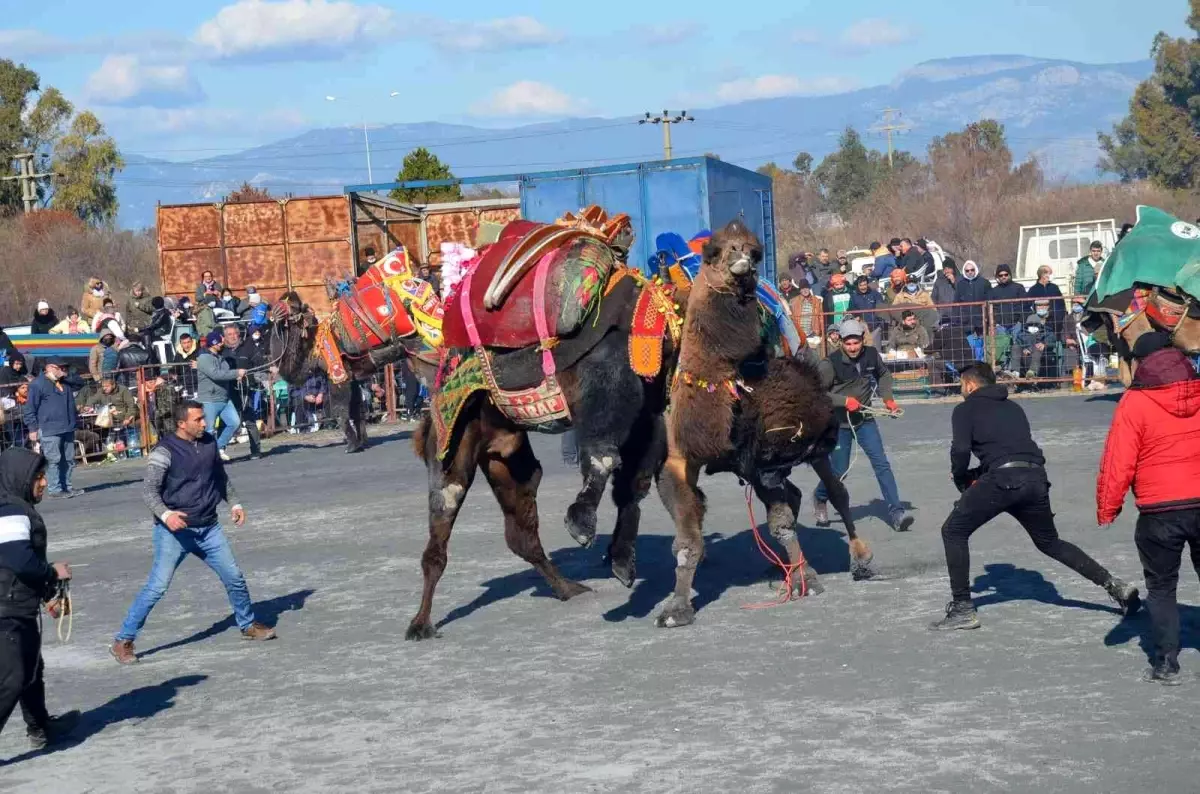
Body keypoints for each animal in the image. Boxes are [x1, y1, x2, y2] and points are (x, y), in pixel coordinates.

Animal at [652, 220, 878, 633]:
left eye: (753, 251)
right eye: (714, 252)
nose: (741, 257)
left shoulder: (765, 461)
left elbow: (782, 523)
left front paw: (807, 578)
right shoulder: (680, 461)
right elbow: (687, 539)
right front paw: (676, 608)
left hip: (813, 451)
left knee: (837, 492)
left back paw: (859, 558)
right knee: (800, 494)